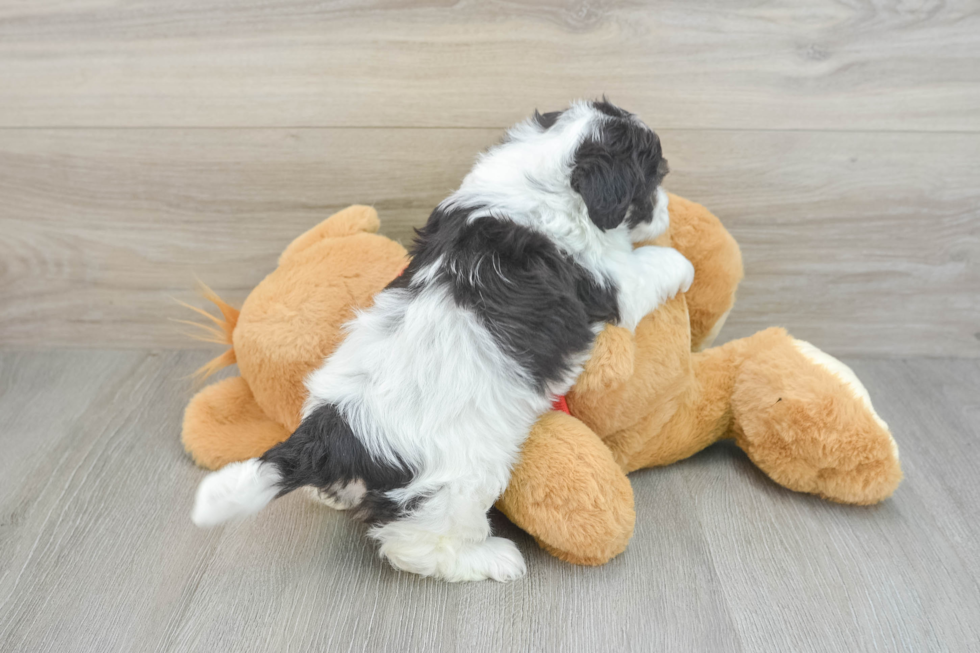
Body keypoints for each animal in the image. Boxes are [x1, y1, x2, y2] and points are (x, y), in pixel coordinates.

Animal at [191, 100, 692, 580]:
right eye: (655, 178)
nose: (669, 209)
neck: (544, 175)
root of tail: (337, 433)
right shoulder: (613, 281)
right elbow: (659, 264)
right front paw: (685, 266)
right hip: (458, 482)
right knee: (417, 545)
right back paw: (490, 559)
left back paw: (333, 495)